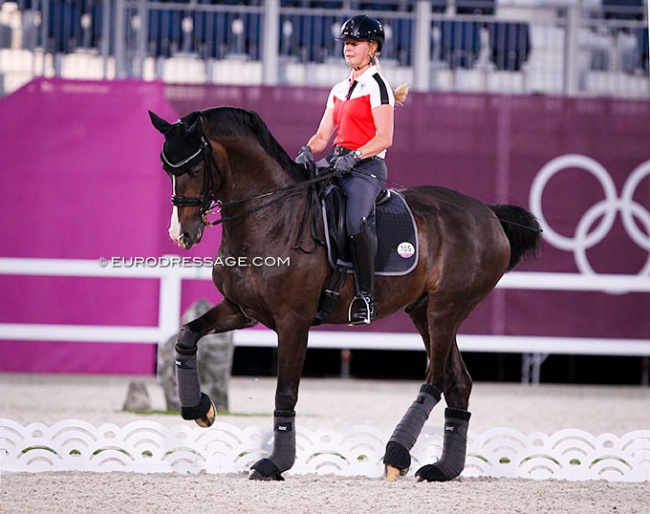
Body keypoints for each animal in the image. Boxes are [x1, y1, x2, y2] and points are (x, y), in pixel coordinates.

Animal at [149, 107, 540, 480]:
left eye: (194, 166)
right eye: (166, 167)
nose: (181, 234)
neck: (271, 217)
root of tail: (488, 213)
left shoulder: (293, 322)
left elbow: (285, 391)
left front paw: (275, 463)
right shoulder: (240, 309)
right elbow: (187, 335)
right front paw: (199, 408)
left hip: (446, 309)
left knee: (437, 378)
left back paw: (397, 455)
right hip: (424, 311)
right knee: (458, 382)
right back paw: (442, 470)